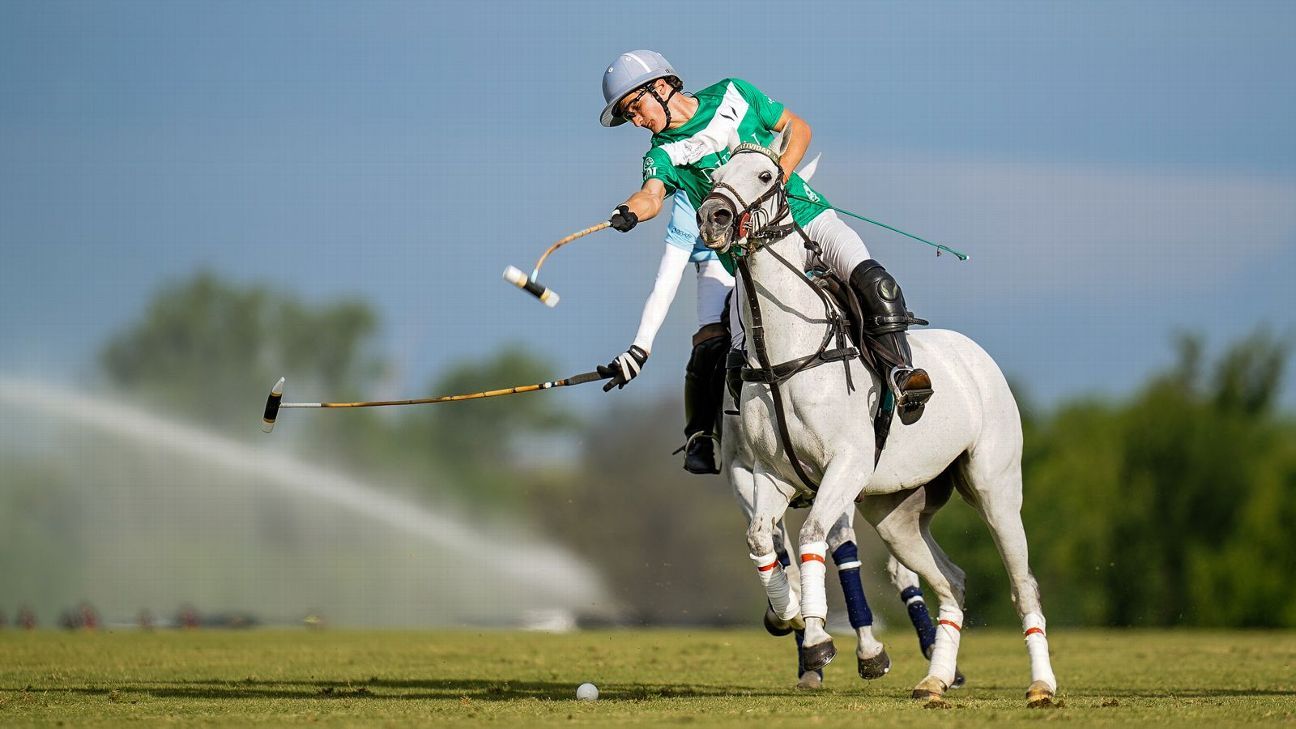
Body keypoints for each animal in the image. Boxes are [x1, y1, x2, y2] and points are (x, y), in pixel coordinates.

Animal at [705, 131, 1057, 705]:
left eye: (765, 176)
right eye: (711, 177)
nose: (712, 216)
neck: (785, 355)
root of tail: (978, 356)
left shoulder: (845, 465)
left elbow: (812, 535)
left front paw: (820, 637)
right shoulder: (770, 475)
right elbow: (762, 538)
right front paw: (788, 614)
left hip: (996, 487)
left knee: (1021, 582)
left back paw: (1041, 685)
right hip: (895, 514)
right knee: (952, 580)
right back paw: (935, 679)